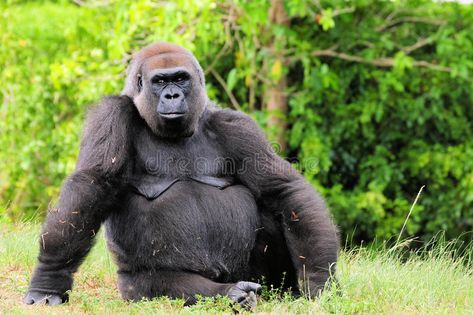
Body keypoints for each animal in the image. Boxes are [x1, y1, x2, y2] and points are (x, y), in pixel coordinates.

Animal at [24, 42, 340, 312]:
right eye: (160, 82)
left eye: (180, 78)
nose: (172, 95)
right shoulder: (111, 114)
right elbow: (92, 185)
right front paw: (48, 280)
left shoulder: (238, 126)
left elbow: (283, 189)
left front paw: (320, 280)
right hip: (133, 284)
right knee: (161, 285)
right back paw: (230, 294)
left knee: (274, 214)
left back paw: (281, 291)